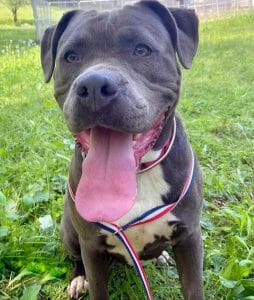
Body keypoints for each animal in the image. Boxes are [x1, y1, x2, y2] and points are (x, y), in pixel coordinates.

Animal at [41, 1, 204, 298]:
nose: (94, 85)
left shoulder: (189, 237)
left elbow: (194, 287)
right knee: (75, 257)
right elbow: (97, 285)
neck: (137, 175)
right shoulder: (91, 246)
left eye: (141, 49)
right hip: (69, 232)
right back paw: (78, 278)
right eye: (70, 56)